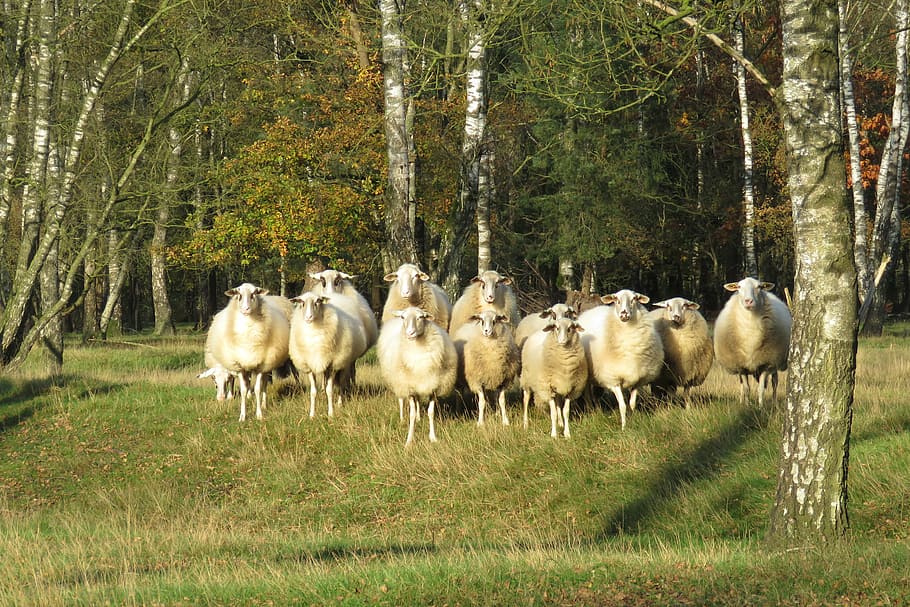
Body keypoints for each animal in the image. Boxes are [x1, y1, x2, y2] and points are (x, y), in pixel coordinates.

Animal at [207, 283, 291, 422]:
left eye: (254, 293)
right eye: (239, 295)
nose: (246, 309)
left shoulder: (260, 365)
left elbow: (257, 389)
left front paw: (259, 414)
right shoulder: (240, 366)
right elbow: (243, 390)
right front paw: (242, 416)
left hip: (268, 364)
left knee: (264, 385)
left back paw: (264, 405)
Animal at [377, 306, 458, 447]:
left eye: (421, 317)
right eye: (403, 317)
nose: (410, 333)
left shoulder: (432, 385)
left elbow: (431, 412)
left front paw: (433, 437)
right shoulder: (409, 388)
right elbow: (412, 415)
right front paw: (409, 440)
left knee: (418, 401)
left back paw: (420, 418)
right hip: (399, 381)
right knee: (401, 400)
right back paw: (402, 418)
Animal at [578, 289, 664, 429]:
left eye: (634, 299)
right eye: (616, 299)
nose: (624, 314)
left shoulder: (637, 380)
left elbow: (632, 404)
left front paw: (633, 421)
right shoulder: (614, 380)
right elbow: (622, 406)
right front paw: (624, 427)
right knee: (587, 395)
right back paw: (590, 410)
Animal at [713, 277, 792, 406]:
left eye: (759, 287)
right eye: (739, 287)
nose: (748, 301)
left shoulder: (766, 363)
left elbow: (761, 389)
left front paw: (760, 406)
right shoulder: (741, 366)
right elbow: (746, 388)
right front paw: (747, 405)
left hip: (775, 362)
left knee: (774, 382)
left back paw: (774, 402)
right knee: (742, 384)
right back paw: (741, 401)